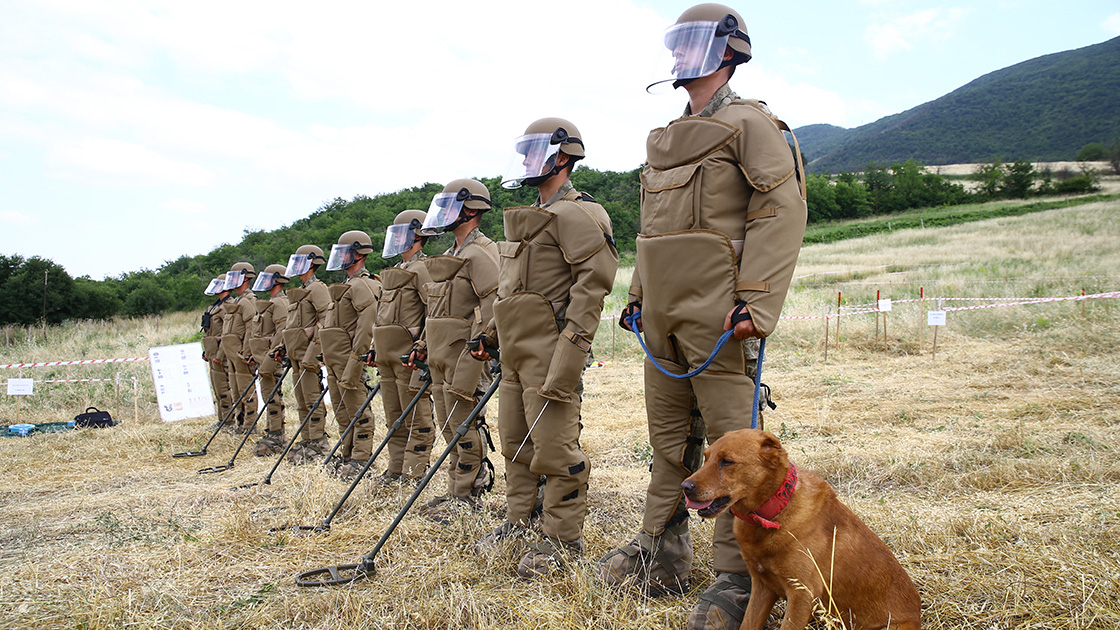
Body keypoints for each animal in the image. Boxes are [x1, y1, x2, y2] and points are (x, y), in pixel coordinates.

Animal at [676, 428, 922, 627]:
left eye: (727, 461)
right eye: (706, 457)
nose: (685, 487)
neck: (773, 513)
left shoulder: (802, 594)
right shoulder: (762, 587)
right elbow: (748, 624)